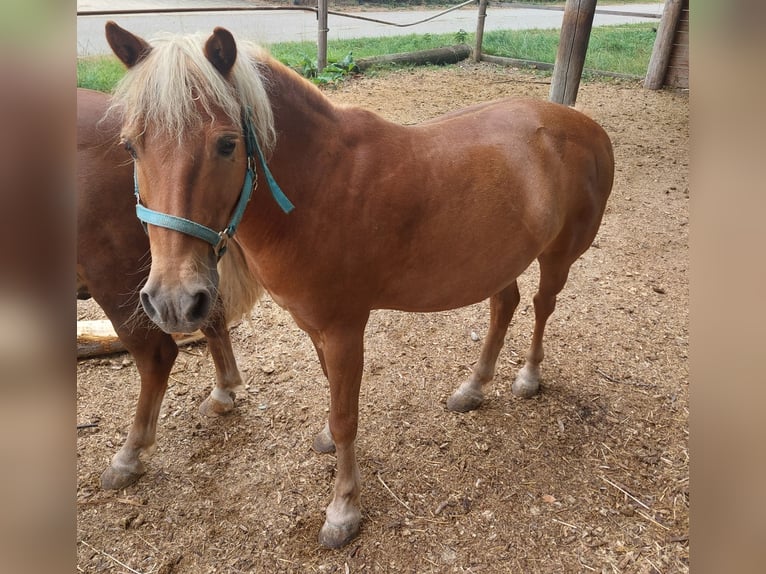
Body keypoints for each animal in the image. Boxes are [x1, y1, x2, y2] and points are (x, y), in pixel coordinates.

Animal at [77, 87, 262, 490]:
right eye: (130, 148)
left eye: (228, 145)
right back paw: (223, 393)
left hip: (117, 277)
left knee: (157, 354)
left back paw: (129, 455)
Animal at [103, 22, 614, 548]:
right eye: (130, 147)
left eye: (226, 144)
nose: (173, 302)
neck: (320, 186)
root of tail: (586, 126)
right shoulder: (315, 327)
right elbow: (334, 396)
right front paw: (330, 446)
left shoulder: (346, 330)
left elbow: (346, 415)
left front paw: (343, 509)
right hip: (498, 258)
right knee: (505, 304)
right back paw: (473, 388)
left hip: (557, 257)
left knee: (542, 305)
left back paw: (528, 377)